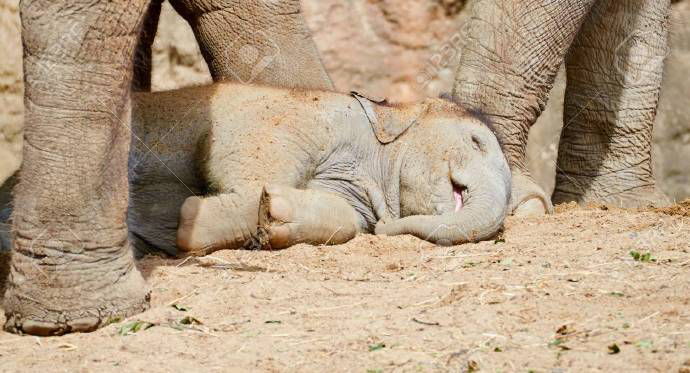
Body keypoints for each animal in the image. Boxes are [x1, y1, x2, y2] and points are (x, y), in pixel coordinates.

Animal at [127, 82, 510, 254]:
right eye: (476, 141)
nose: (385, 227)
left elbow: (347, 221)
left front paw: (276, 212)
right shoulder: (292, 119)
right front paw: (191, 219)